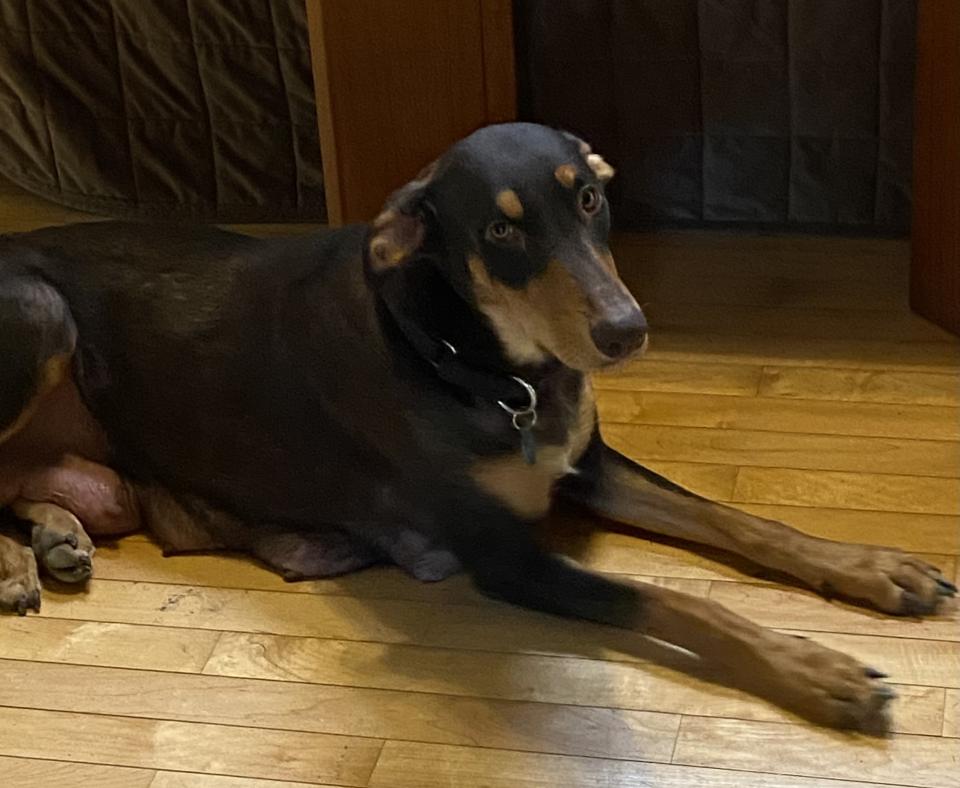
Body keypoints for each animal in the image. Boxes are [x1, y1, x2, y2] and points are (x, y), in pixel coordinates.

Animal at [0, 124, 956, 732]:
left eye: (589, 201)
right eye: (500, 228)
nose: (626, 332)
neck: (490, 368)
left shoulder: (586, 462)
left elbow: (737, 519)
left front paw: (874, 568)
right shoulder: (505, 556)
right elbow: (681, 601)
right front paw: (819, 672)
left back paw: (55, 536)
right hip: (39, 311)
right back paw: (23, 564)